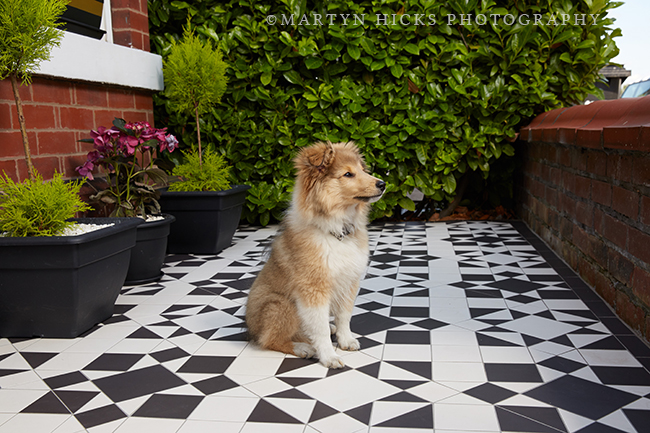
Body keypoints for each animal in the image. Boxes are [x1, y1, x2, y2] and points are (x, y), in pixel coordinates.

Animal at [246, 140, 382, 366]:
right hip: (281, 305)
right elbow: (319, 328)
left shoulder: (349, 281)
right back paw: (303, 348)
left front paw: (346, 340)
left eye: (363, 170)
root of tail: (249, 329)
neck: (337, 232)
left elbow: (345, 315)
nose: (383, 184)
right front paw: (329, 357)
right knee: (270, 339)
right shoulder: (314, 288)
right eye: (348, 174)